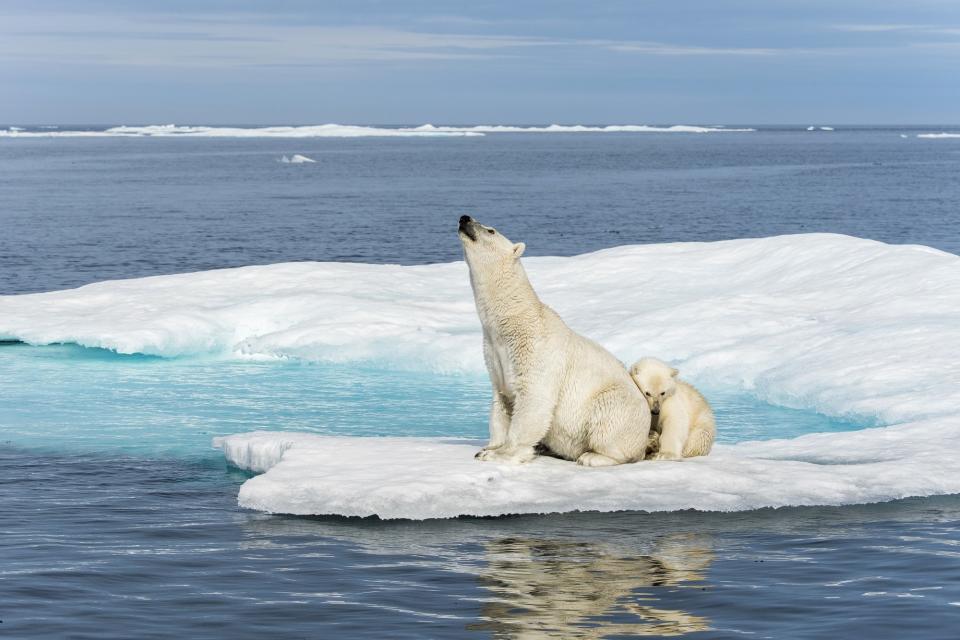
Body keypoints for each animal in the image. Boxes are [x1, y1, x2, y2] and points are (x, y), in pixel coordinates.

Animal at [460, 215, 652, 464]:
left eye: (490, 230)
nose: (464, 218)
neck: (513, 321)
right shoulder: (494, 352)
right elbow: (501, 401)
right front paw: (488, 447)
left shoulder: (535, 350)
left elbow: (534, 399)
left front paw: (500, 454)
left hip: (618, 406)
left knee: (609, 421)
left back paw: (592, 456)